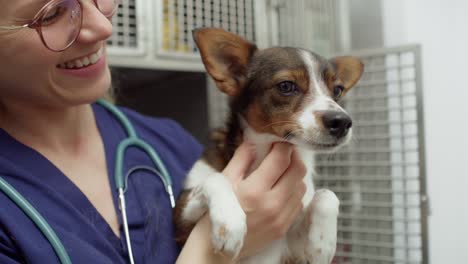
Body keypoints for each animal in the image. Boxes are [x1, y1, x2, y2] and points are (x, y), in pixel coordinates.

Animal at [174, 27, 364, 262]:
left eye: (337, 90)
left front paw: (322, 245)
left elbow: (327, 195)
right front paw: (230, 223)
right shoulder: (181, 224)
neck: (266, 150)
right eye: (286, 86)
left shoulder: (294, 251)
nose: (342, 122)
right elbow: (215, 178)